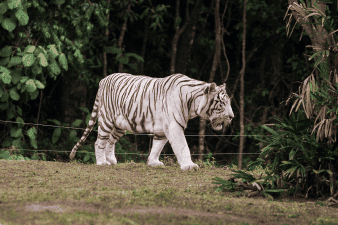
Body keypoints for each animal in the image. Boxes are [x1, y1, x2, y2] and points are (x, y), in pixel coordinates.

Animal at [70, 73, 234, 170]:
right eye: (222, 103)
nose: (232, 116)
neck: (193, 102)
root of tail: (103, 80)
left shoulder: (162, 129)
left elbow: (157, 146)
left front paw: (153, 163)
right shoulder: (174, 126)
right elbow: (183, 147)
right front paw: (189, 165)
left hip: (120, 125)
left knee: (110, 141)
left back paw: (111, 160)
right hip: (107, 120)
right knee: (99, 142)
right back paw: (101, 162)